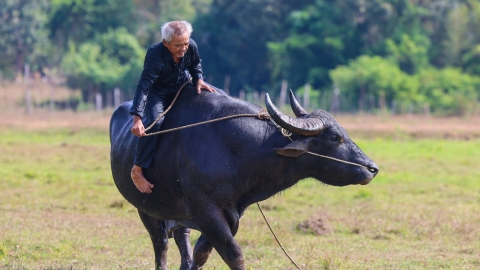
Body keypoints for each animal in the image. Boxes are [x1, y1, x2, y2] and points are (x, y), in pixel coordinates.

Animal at [109, 85, 378, 268]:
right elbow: (234, 255)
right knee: (160, 244)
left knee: (181, 241)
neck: (239, 149)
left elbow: (200, 253)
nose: (372, 168)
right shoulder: (207, 213)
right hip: (147, 209)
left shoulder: (230, 214)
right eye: (334, 137)